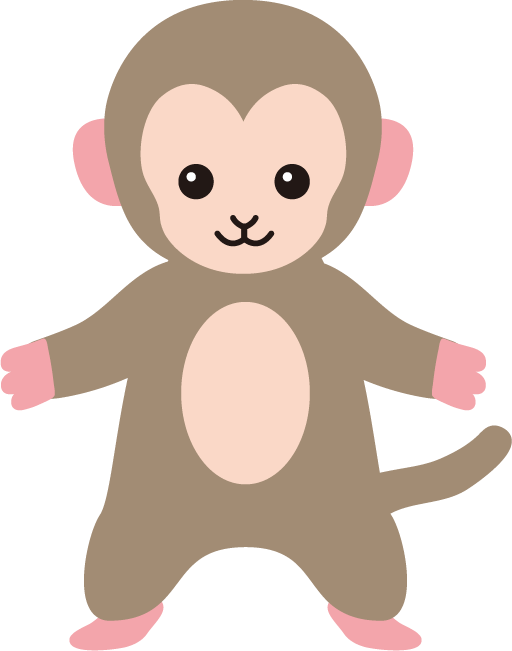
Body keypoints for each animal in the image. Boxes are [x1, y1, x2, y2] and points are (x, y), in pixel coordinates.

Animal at [1, 1, 510, 650]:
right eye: (193, 179)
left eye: (293, 179)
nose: (244, 222)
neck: (244, 286)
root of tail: (246, 530)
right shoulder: (145, 302)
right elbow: (96, 346)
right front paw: (29, 372)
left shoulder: (342, 303)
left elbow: (389, 345)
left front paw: (457, 373)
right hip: (141, 519)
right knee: (123, 565)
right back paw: (114, 625)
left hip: (348, 521)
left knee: (366, 568)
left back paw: (376, 625)